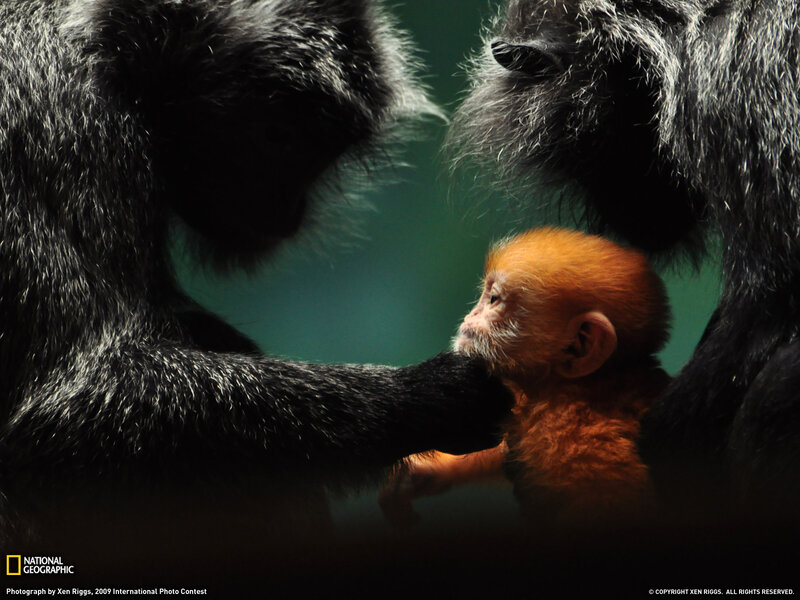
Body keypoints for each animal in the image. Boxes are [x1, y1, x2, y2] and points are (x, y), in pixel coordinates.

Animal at [0, 0, 513, 577]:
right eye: (280, 136)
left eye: (321, 150)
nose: (290, 212)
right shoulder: (62, 115)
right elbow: (69, 413)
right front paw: (423, 395)